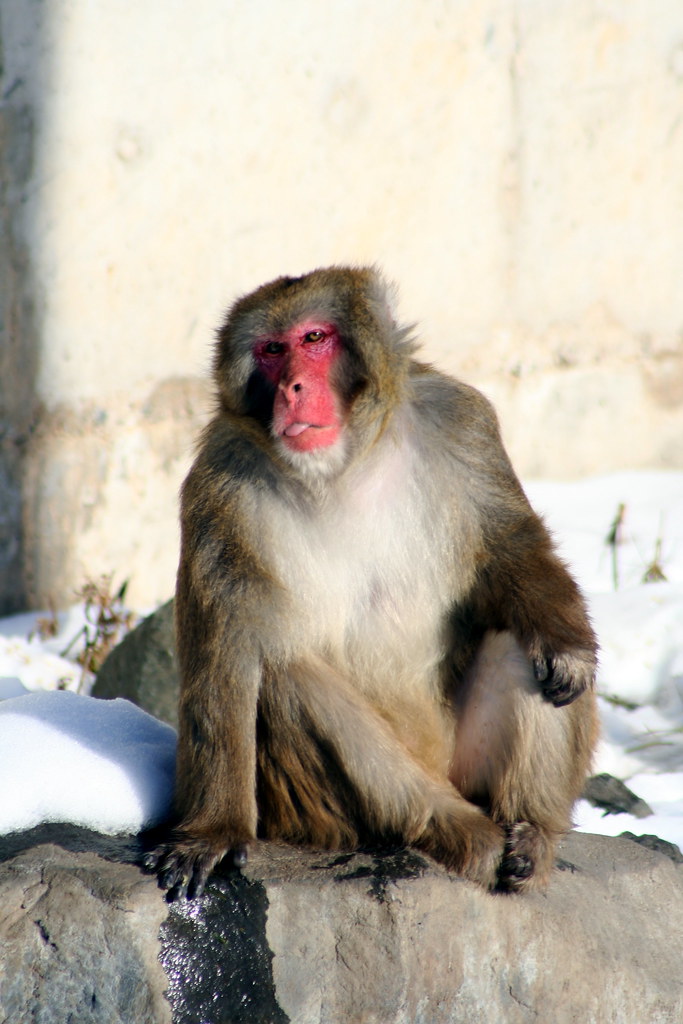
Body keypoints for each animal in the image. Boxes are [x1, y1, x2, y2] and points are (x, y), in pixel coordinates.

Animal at [144, 266, 599, 900]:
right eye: (271, 351)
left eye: (314, 338)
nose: (292, 389)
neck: (344, 465)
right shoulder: (217, 487)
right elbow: (227, 652)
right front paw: (214, 829)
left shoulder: (461, 423)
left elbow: (509, 546)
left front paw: (567, 646)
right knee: (285, 673)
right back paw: (453, 829)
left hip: (467, 763)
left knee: (521, 644)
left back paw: (531, 831)